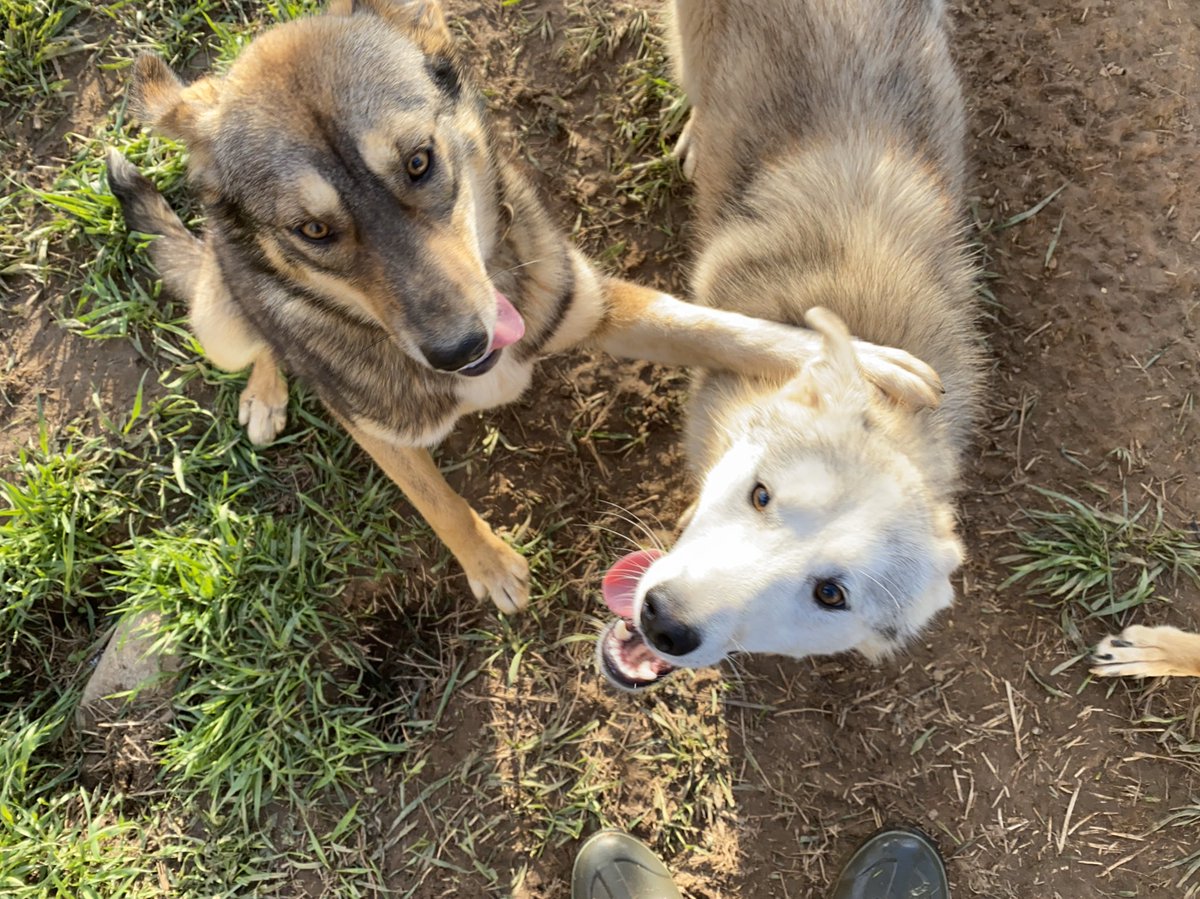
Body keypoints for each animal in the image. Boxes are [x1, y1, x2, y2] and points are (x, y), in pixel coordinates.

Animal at [112, 0, 936, 614]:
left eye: (420, 162)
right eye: (312, 231)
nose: (459, 348)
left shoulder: (592, 304)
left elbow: (725, 327)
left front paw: (861, 364)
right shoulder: (379, 427)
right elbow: (437, 499)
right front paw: (490, 563)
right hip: (219, 316)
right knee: (253, 335)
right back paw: (266, 390)